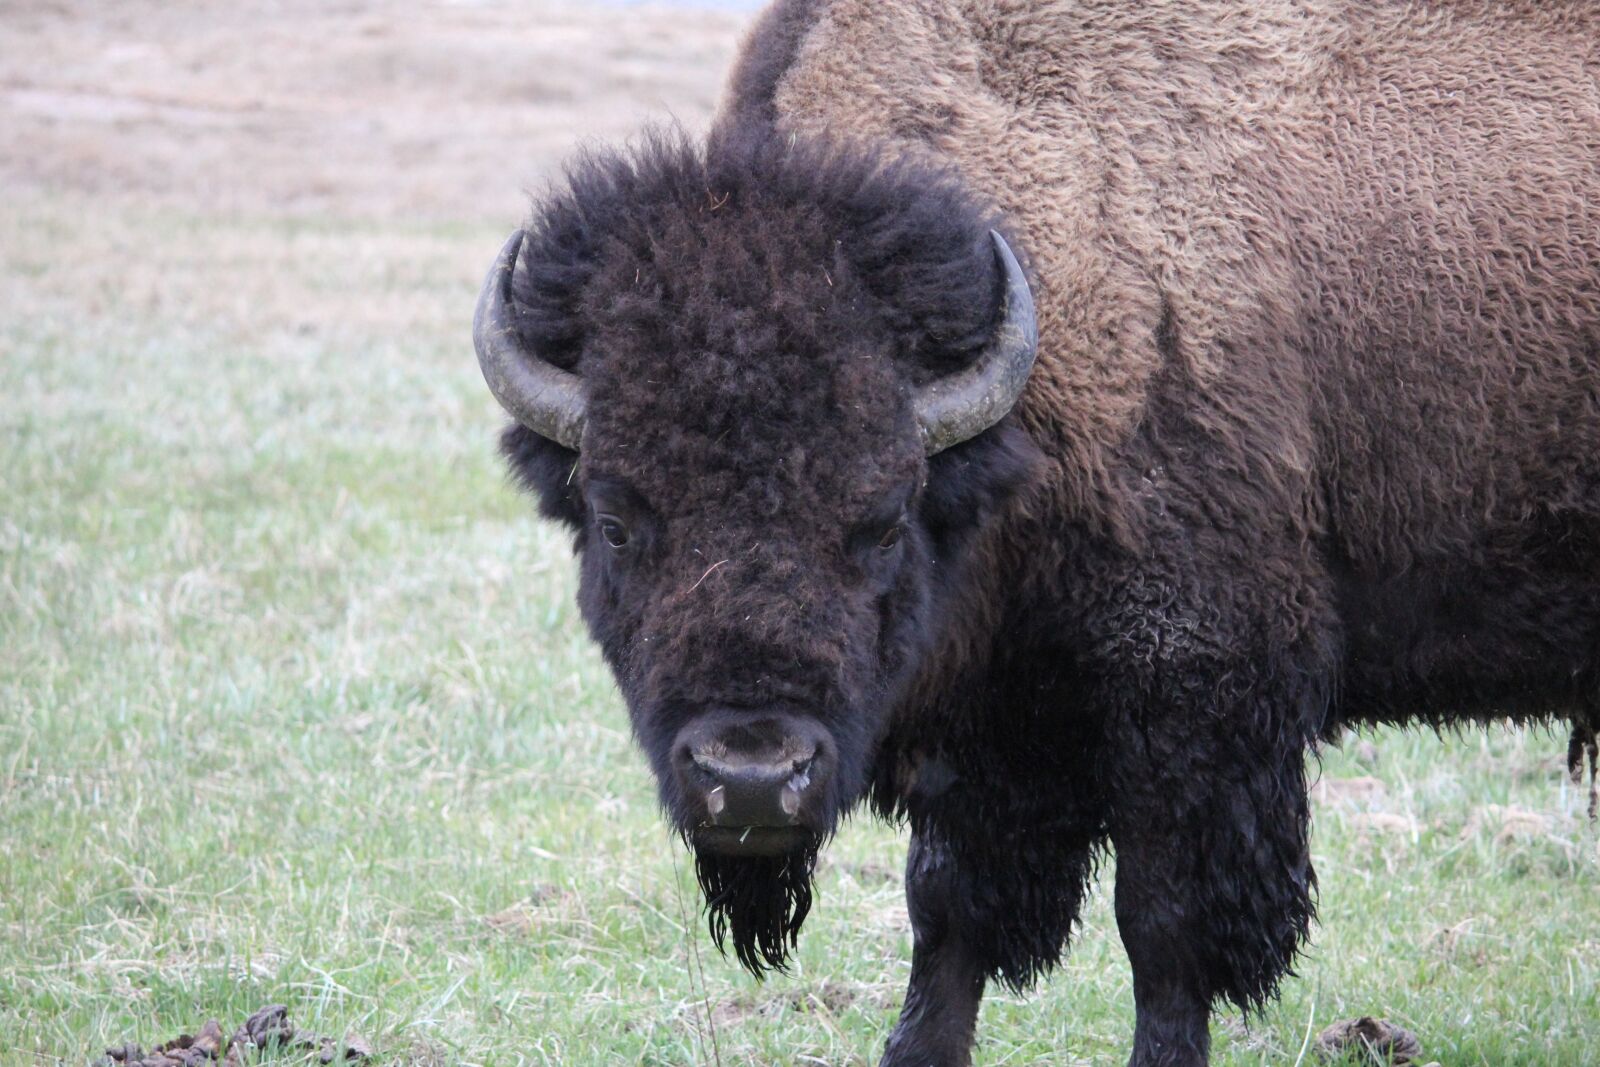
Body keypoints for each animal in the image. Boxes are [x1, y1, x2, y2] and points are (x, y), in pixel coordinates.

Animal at [472, 1, 1600, 1064]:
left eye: (883, 519)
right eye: (616, 518)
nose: (751, 775)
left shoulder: (1189, 693)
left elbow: (1163, 925)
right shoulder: (988, 718)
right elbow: (948, 918)